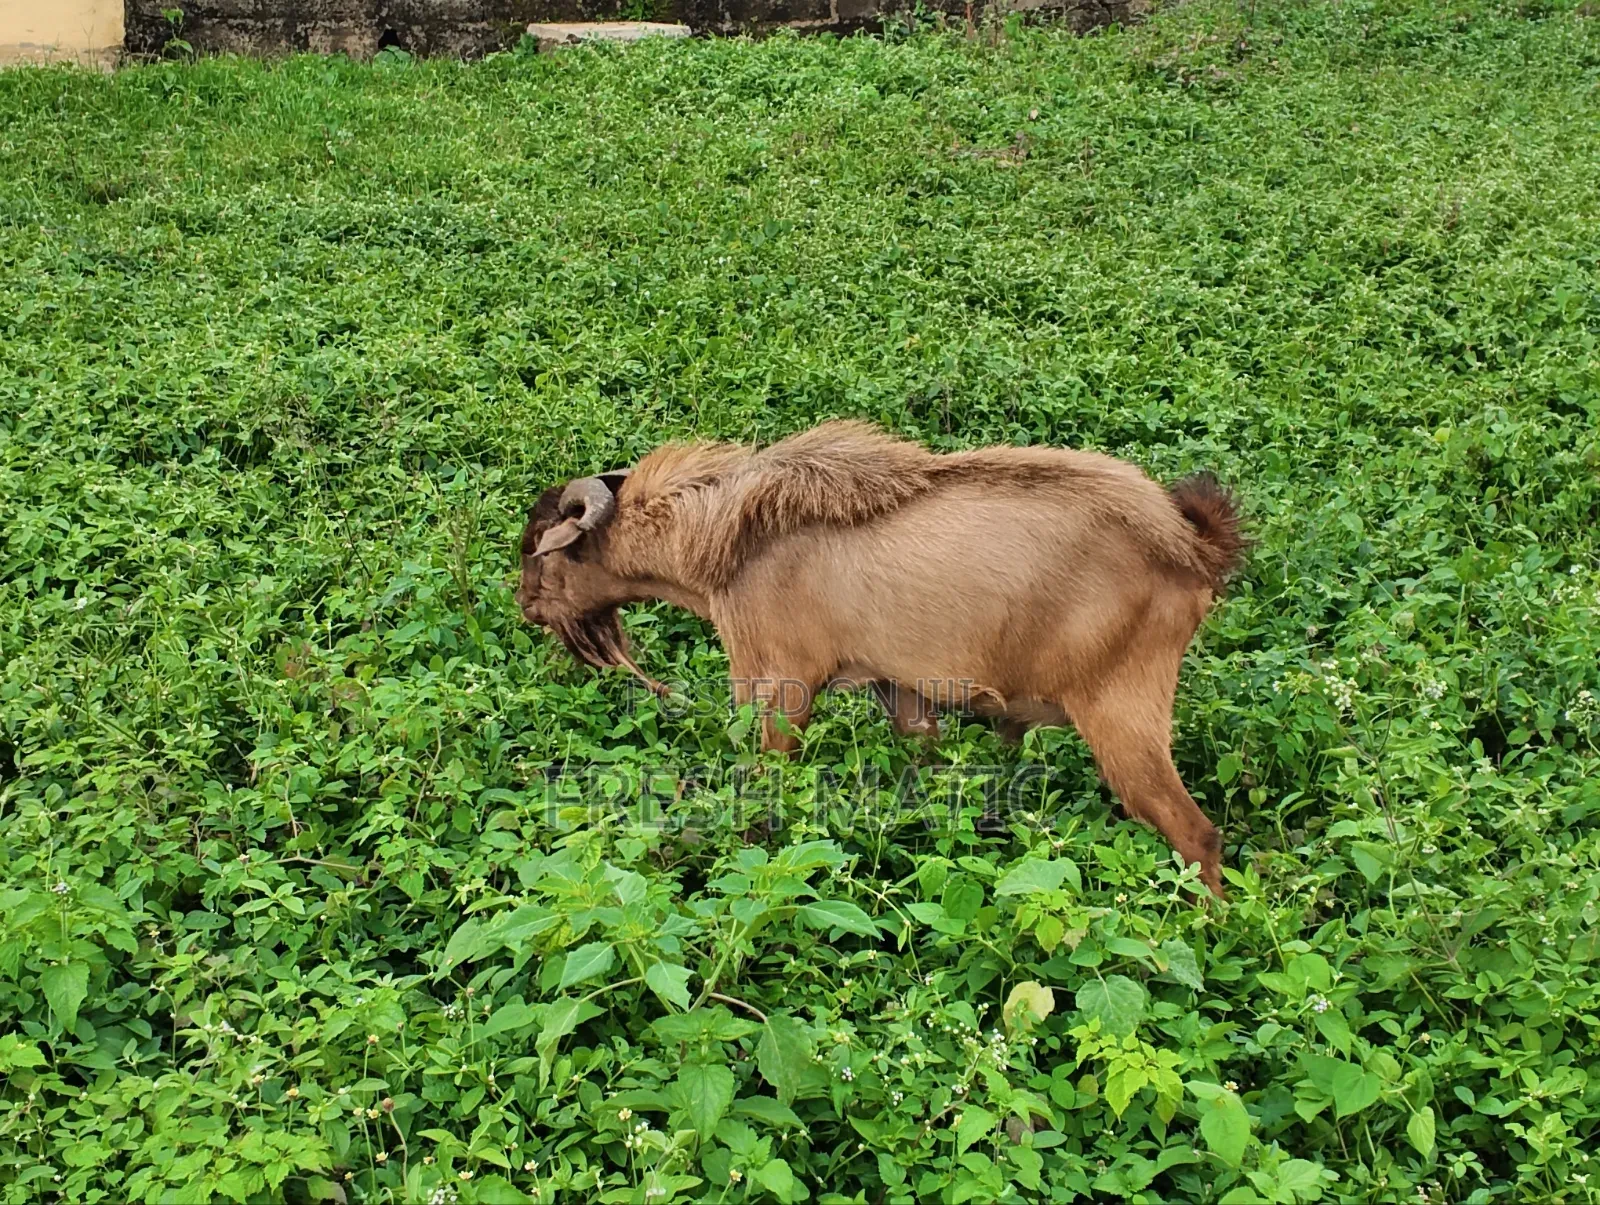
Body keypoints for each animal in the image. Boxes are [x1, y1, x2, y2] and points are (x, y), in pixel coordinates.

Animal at [515, 420, 1245, 896]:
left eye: (542, 551)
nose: (524, 605)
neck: (735, 533)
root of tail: (1190, 548)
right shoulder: (901, 688)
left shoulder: (779, 682)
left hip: (1122, 713)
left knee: (1196, 833)